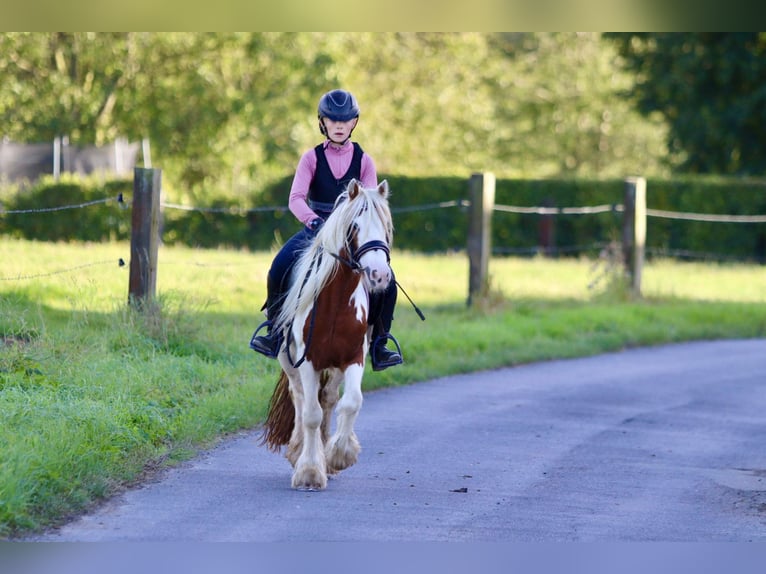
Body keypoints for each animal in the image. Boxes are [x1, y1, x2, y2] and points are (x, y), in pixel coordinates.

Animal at [262, 179, 396, 490]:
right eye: (354, 226)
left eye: (386, 226)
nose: (380, 275)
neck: (336, 301)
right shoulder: (308, 360)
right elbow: (310, 414)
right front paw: (309, 470)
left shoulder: (354, 357)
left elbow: (350, 402)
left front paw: (338, 455)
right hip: (288, 360)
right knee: (300, 397)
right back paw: (298, 451)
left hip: (335, 365)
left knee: (329, 398)